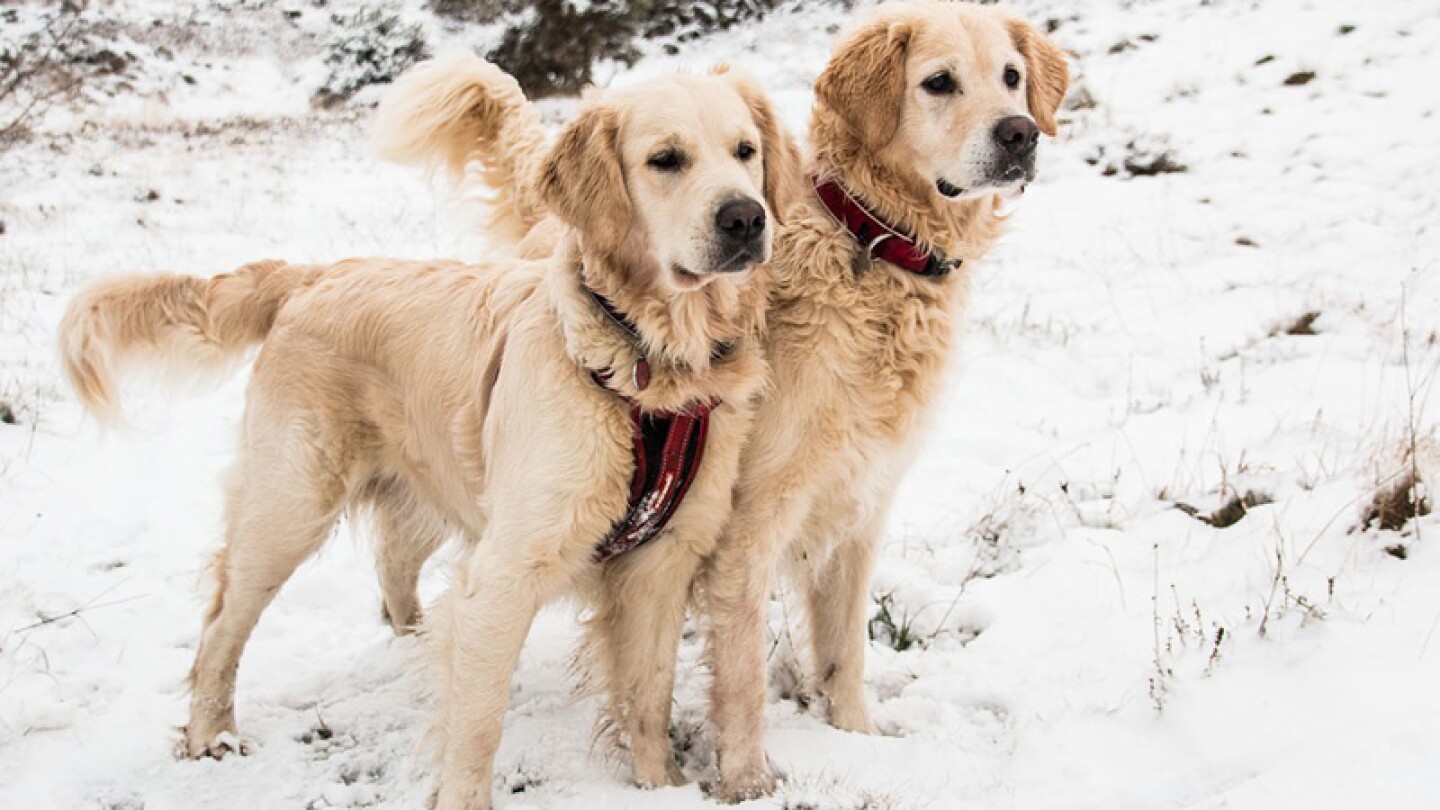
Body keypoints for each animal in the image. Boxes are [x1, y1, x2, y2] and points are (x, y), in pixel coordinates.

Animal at [59, 70, 800, 807]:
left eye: (745, 151)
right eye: (665, 160)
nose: (745, 218)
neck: (645, 367)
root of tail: (313, 275)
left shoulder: (661, 561)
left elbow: (649, 695)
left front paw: (658, 784)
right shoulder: (509, 568)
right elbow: (478, 722)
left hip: (428, 484)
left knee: (392, 563)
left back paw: (410, 642)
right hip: (291, 505)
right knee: (222, 624)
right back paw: (209, 733)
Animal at [377, 0, 1065, 795]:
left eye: (1011, 77)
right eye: (939, 82)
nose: (1019, 134)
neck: (867, 246)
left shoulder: (861, 502)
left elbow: (845, 649)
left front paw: (857, 737)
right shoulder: (746, 523)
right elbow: (741, 675)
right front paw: (746, 781)